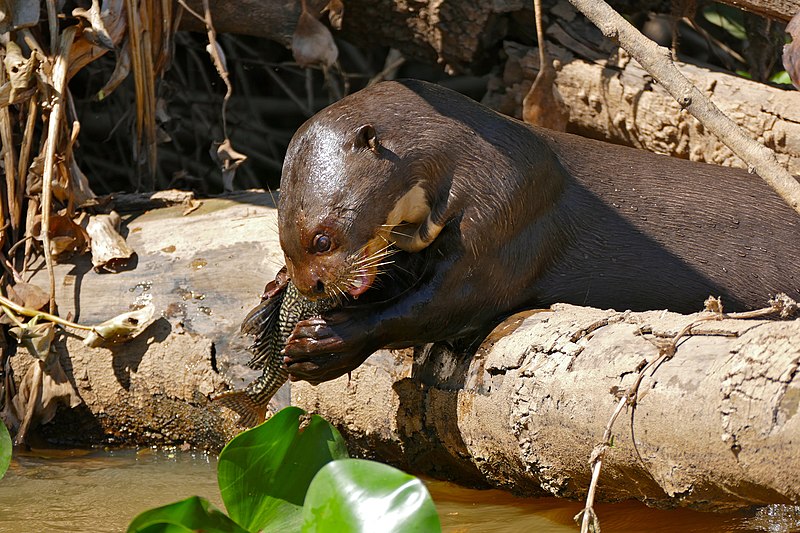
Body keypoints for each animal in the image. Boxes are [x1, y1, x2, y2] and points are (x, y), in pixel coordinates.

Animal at [276, 78, 800, 382]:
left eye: (321, 239)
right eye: (285, 243)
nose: (310, 285)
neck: (471, 159)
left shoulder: (507, 209)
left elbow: (445, 304)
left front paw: (325, 342)